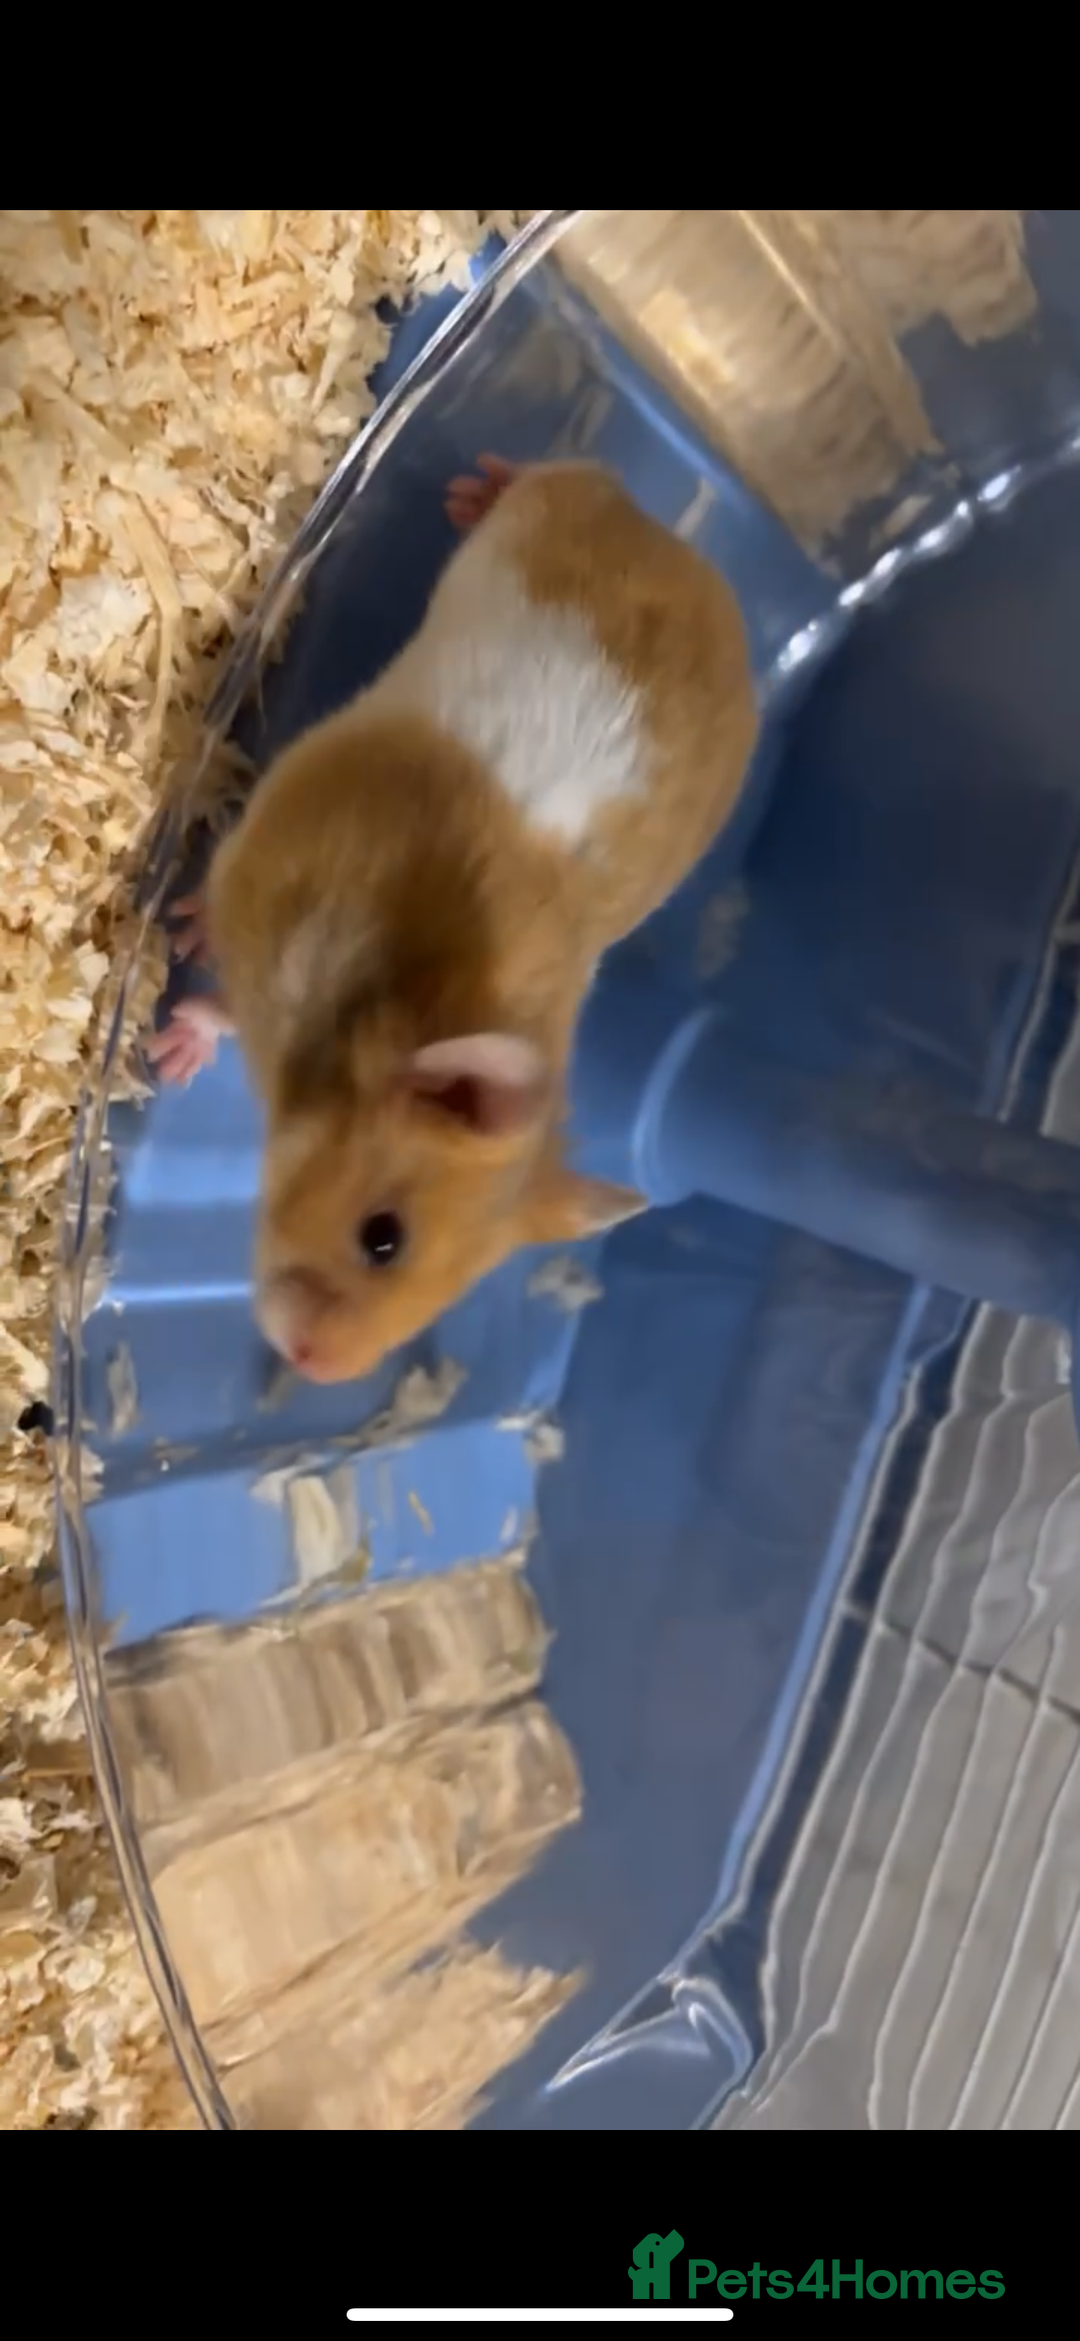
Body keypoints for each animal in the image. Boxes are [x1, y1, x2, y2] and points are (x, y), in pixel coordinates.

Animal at [147, 454, 758, 1384]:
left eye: (457, 1288)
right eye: (383, 1238)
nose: (316, 1368)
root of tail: (678, 545)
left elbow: (222, 1007)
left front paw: (176, 1050)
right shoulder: (258, 866)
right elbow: (218, 974)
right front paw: (171, 1036)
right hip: (552, 503)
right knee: (562, 471)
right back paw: (472, 490)